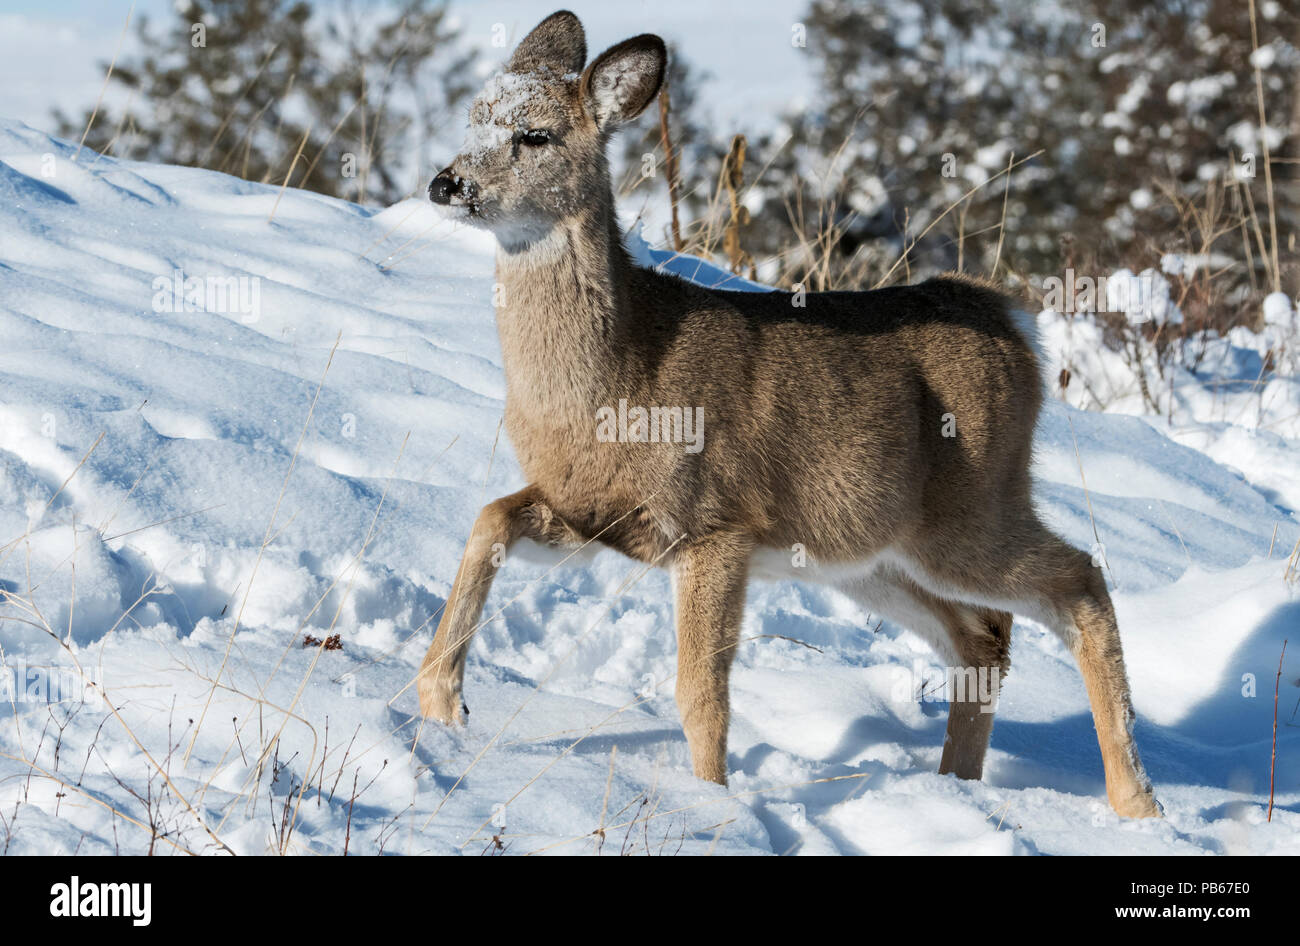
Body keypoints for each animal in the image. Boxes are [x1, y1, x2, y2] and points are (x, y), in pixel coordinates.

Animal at [419, 9, 1162, 819]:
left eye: (536, 135)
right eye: (474, 116)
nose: (446, 181)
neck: (619, 376)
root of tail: (1012, 319)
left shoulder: (716, 524)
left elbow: (700, 695)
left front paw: (711, 802)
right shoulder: (594, 513)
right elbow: (489, 518)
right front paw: (440, 702)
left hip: (973, 510)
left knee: (1079, 580)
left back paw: (1135, 802)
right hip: (870, 553)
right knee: (983, 637)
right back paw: (955, 787)